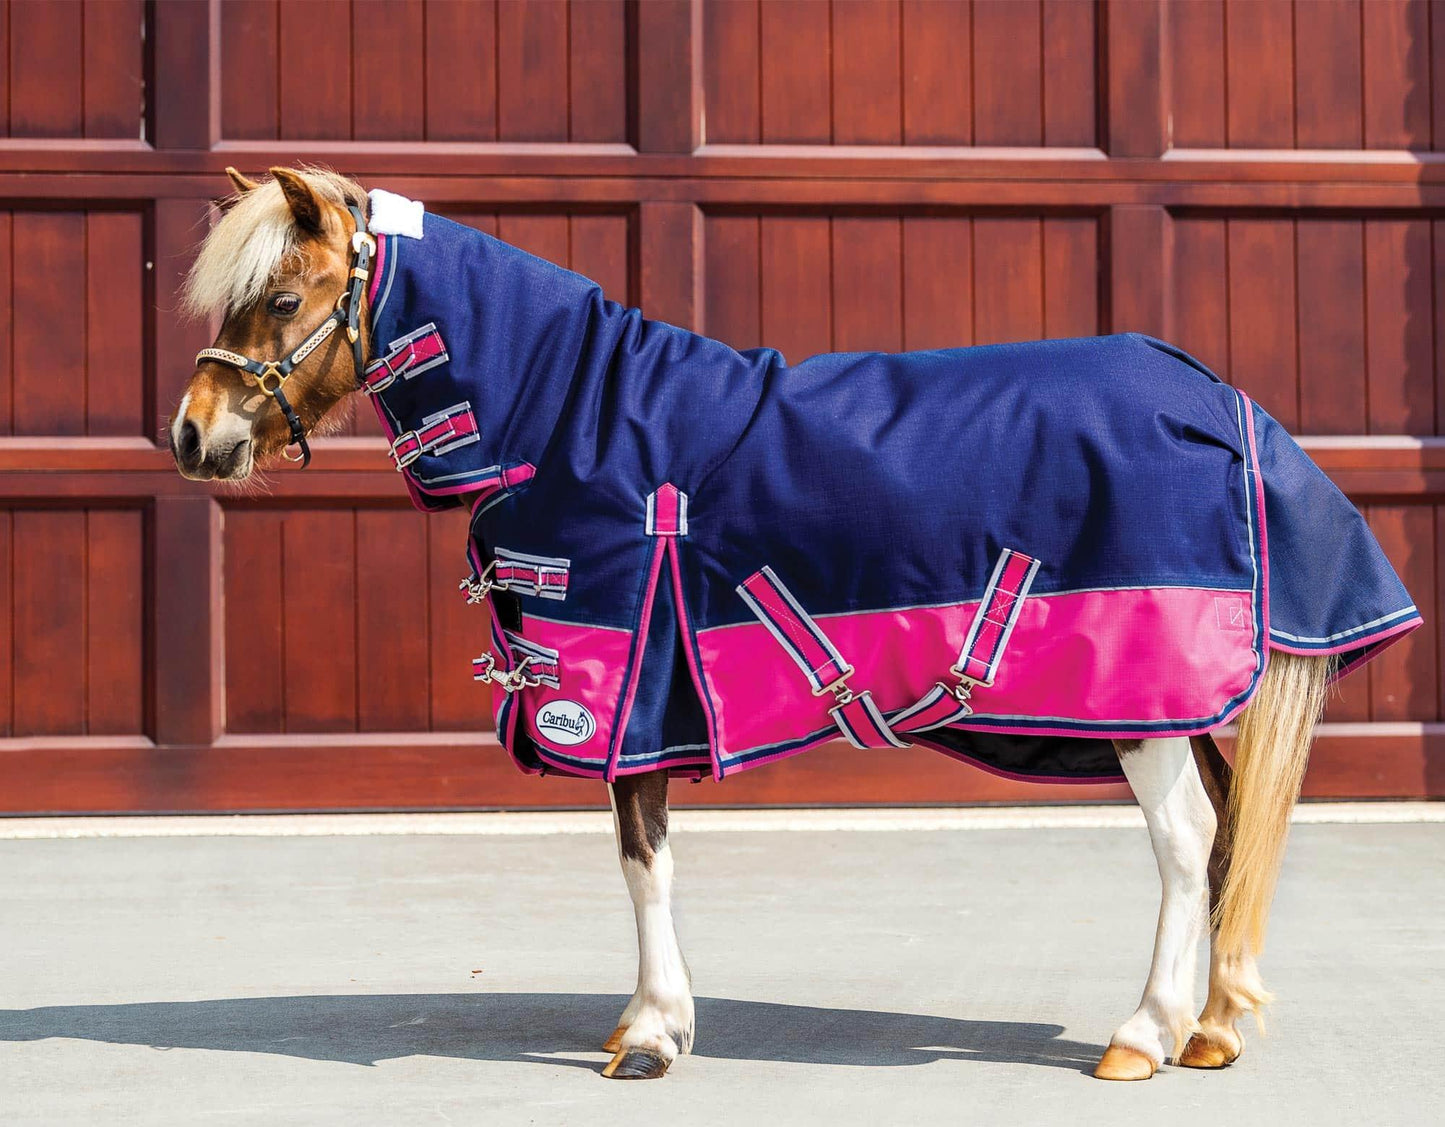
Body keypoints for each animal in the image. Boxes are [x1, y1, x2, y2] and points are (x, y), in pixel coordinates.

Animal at [169, 166, 1418, 1082]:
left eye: (282, 299)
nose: (191, 434)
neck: (580, 417)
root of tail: (1215, 397)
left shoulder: (629, 688)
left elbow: (644, 861)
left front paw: (650, 1033)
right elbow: (645, 856)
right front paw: (652, 1018)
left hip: (1140, 701)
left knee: (1181, 843)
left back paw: (1142, 1034)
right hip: (1181, 699)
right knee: (1225, 835)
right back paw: (1210, 1028)